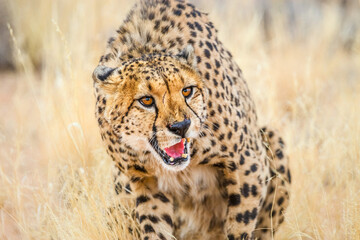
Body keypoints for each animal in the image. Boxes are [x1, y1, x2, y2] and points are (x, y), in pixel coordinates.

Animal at [92, 0, 290, 239]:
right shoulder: (145, 182)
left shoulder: (247, 160)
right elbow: (154, 228)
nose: (181, 127)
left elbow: (241, 223)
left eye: (187, 91)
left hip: (272, 140)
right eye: (146, 100)